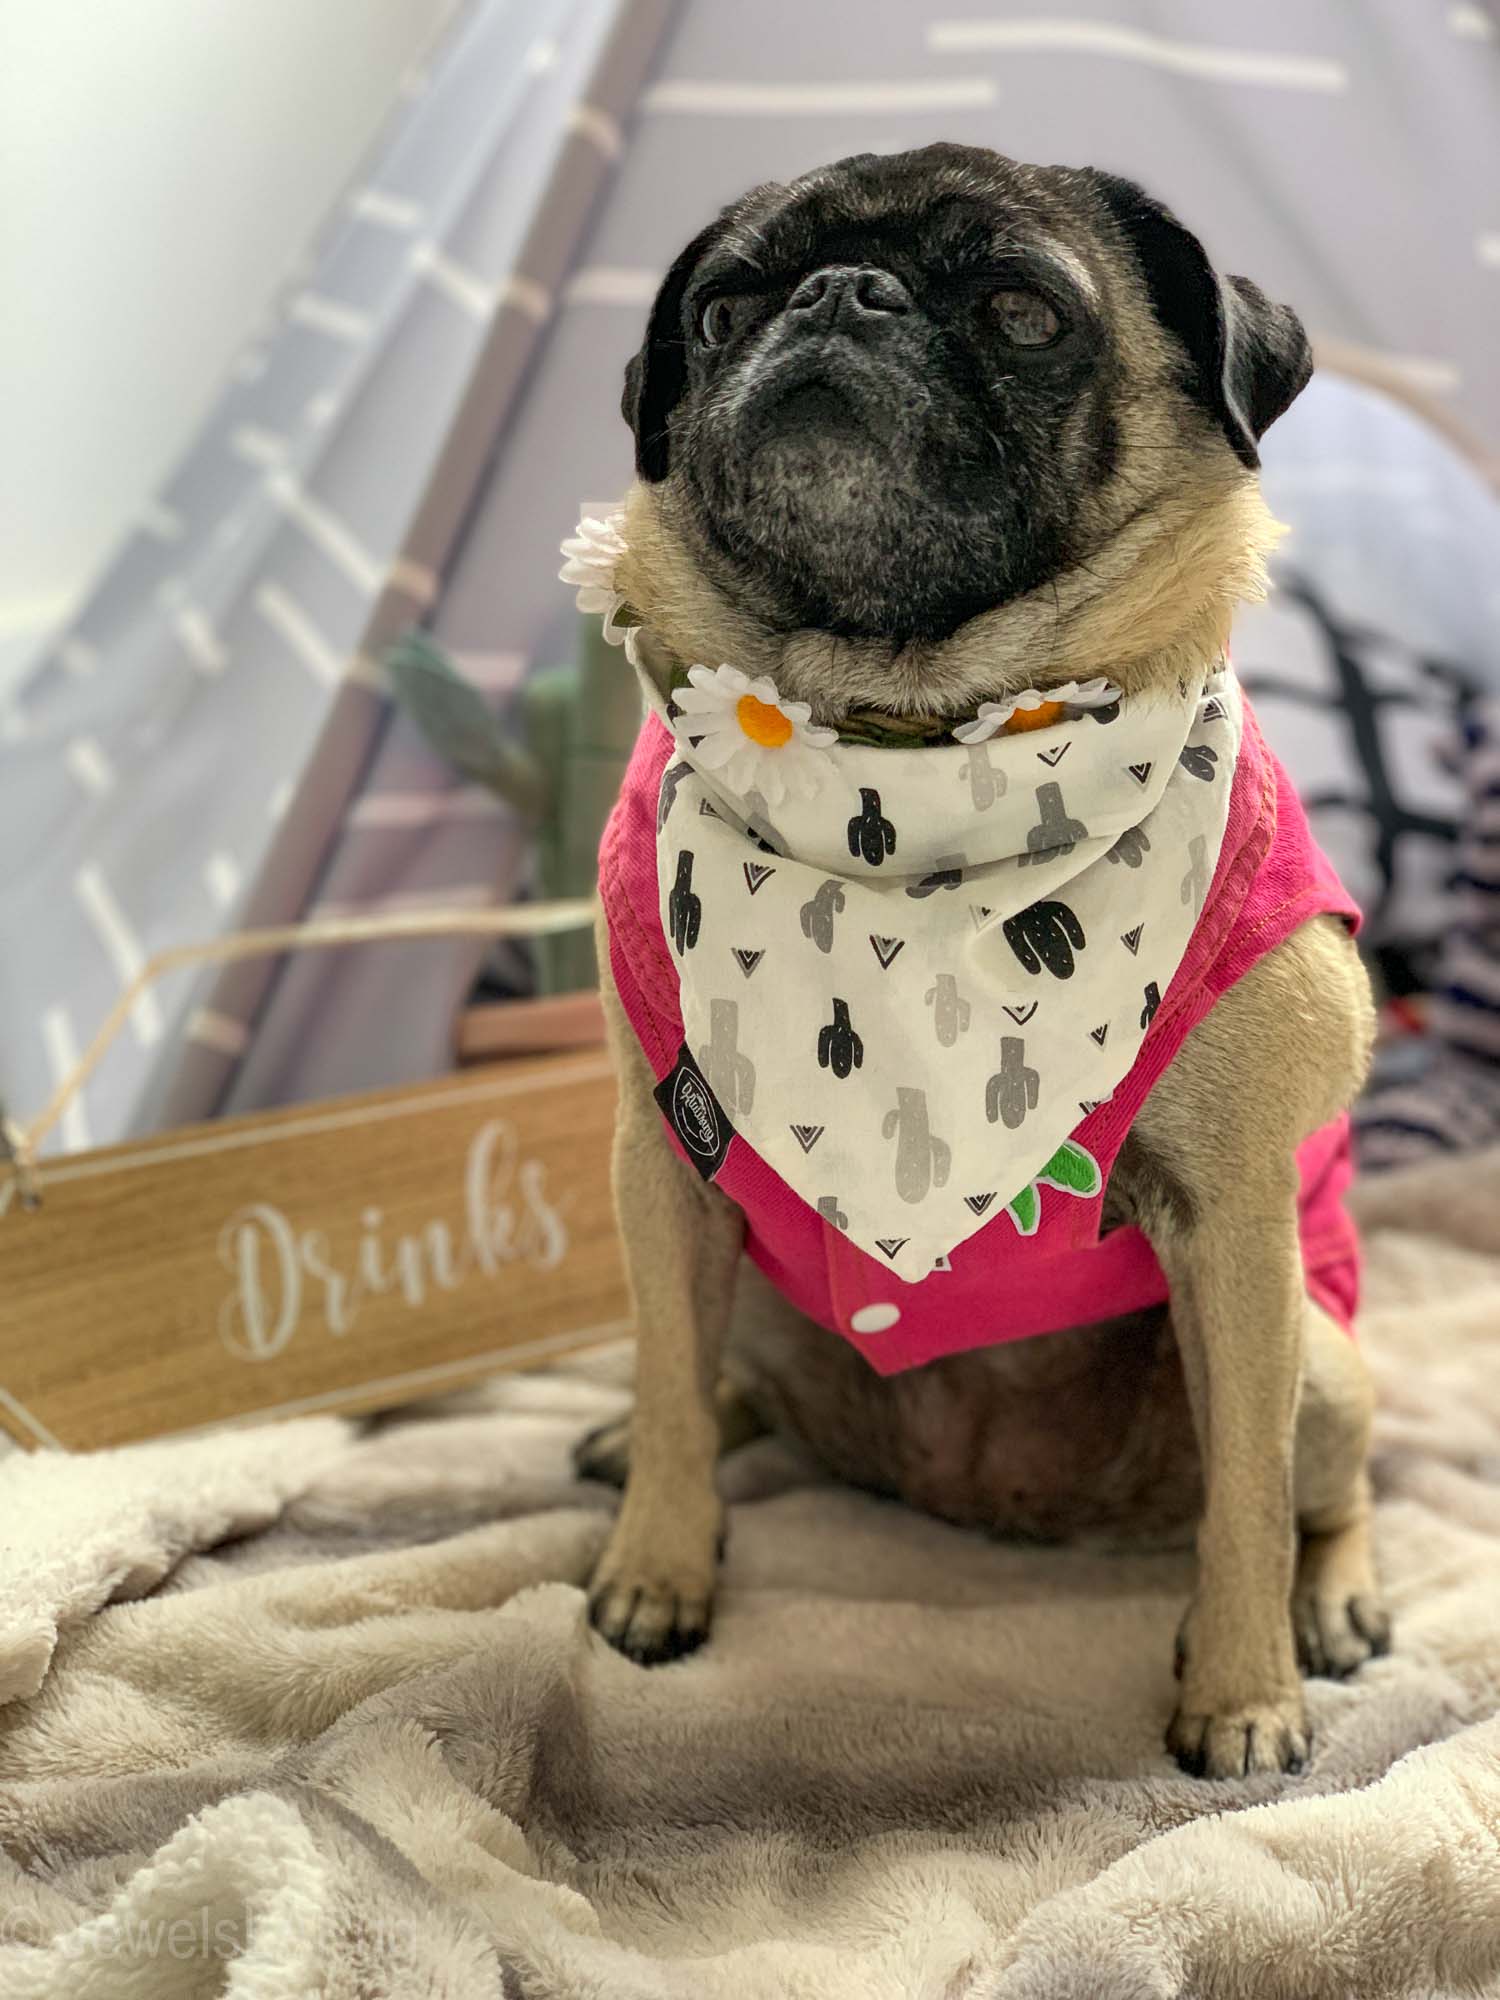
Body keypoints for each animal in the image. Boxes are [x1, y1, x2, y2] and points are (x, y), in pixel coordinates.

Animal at [571, 143, 1388, 1781]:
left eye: (1022, 311)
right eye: (722, 308)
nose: (840, 294)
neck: (906, 738)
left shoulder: (1235, 1227)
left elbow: (1249, 1508)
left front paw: (1243, 1691)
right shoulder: (660, 1169)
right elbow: (676, 1384)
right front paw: (658, 1563)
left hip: (1323, 1360)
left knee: (1315, 1490)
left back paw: (1328, 1609)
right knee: (710, 1375)